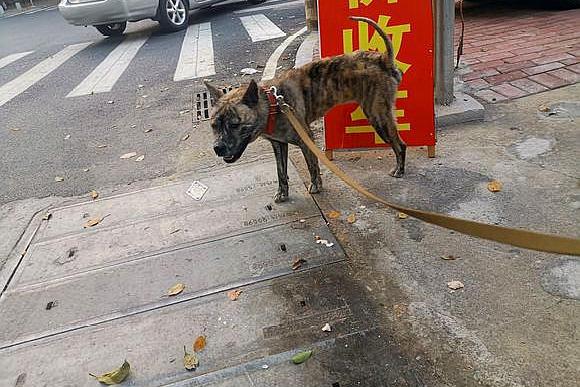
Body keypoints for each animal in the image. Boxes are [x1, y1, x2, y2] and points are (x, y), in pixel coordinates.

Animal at [207, 15, 404, 203]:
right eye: (214, 126)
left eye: (235, 125)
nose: (217, 148)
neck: (272, 105)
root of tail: (382, 60)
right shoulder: (278, 144)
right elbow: (281, 172)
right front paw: (283, 193)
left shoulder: (306, 139)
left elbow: (312, 165)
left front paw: (316, 185)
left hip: (377, 116)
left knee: (400, 144)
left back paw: (399, 169)